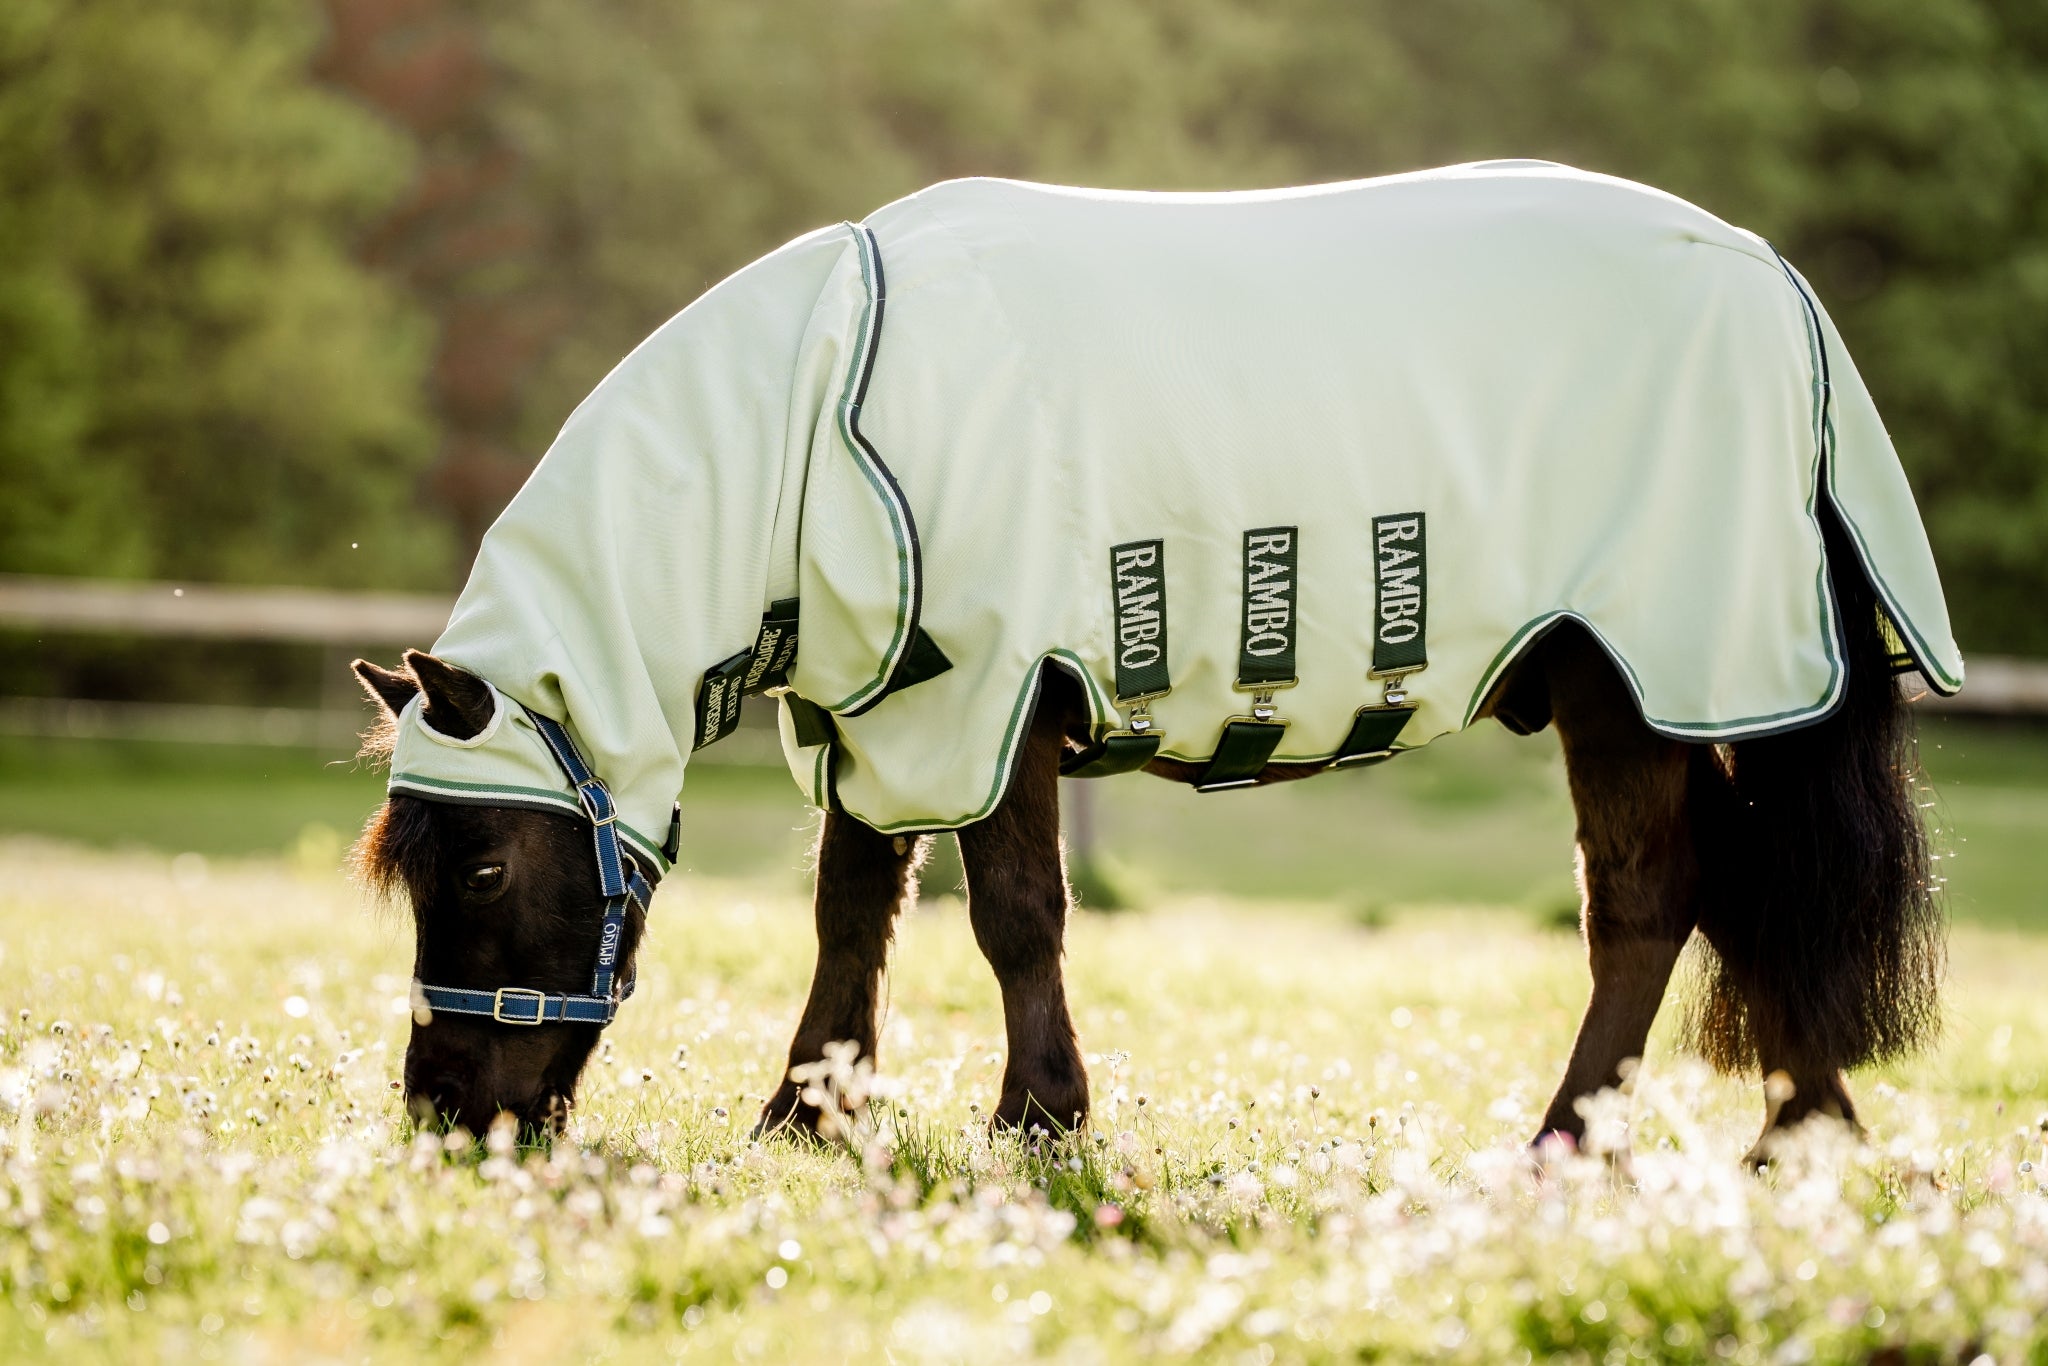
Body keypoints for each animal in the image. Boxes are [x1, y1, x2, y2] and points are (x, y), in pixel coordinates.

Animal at [347, 162, 1950, 1158]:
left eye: (479, 866)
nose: (444, 1113)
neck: (824, 417)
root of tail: (1778, 287)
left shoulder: (993, 705)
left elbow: (1014, 919)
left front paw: (1036, 1120)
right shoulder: (881, 727)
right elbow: (851, 916)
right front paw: (805, 1120)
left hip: (1642, 675)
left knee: (1653, 899)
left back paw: (1580, 1140)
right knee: (1745, 888)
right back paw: (1798, 1132)